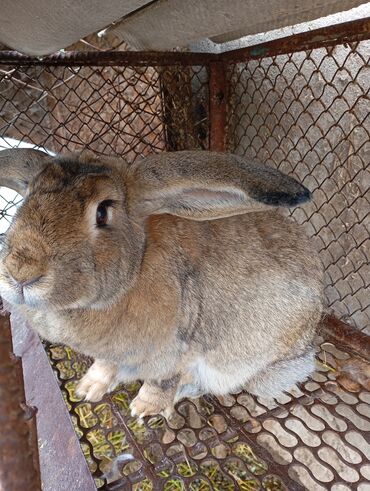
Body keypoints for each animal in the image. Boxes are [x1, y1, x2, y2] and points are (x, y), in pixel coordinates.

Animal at [0, 148, 324, 418]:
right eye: (26, 199)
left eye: (102, 212)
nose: (21, 272)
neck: (136, 266)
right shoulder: (111, 353)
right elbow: (105, 366)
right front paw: (88, 389)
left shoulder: (173, 355)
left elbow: (162, 382)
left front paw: (144, 409)